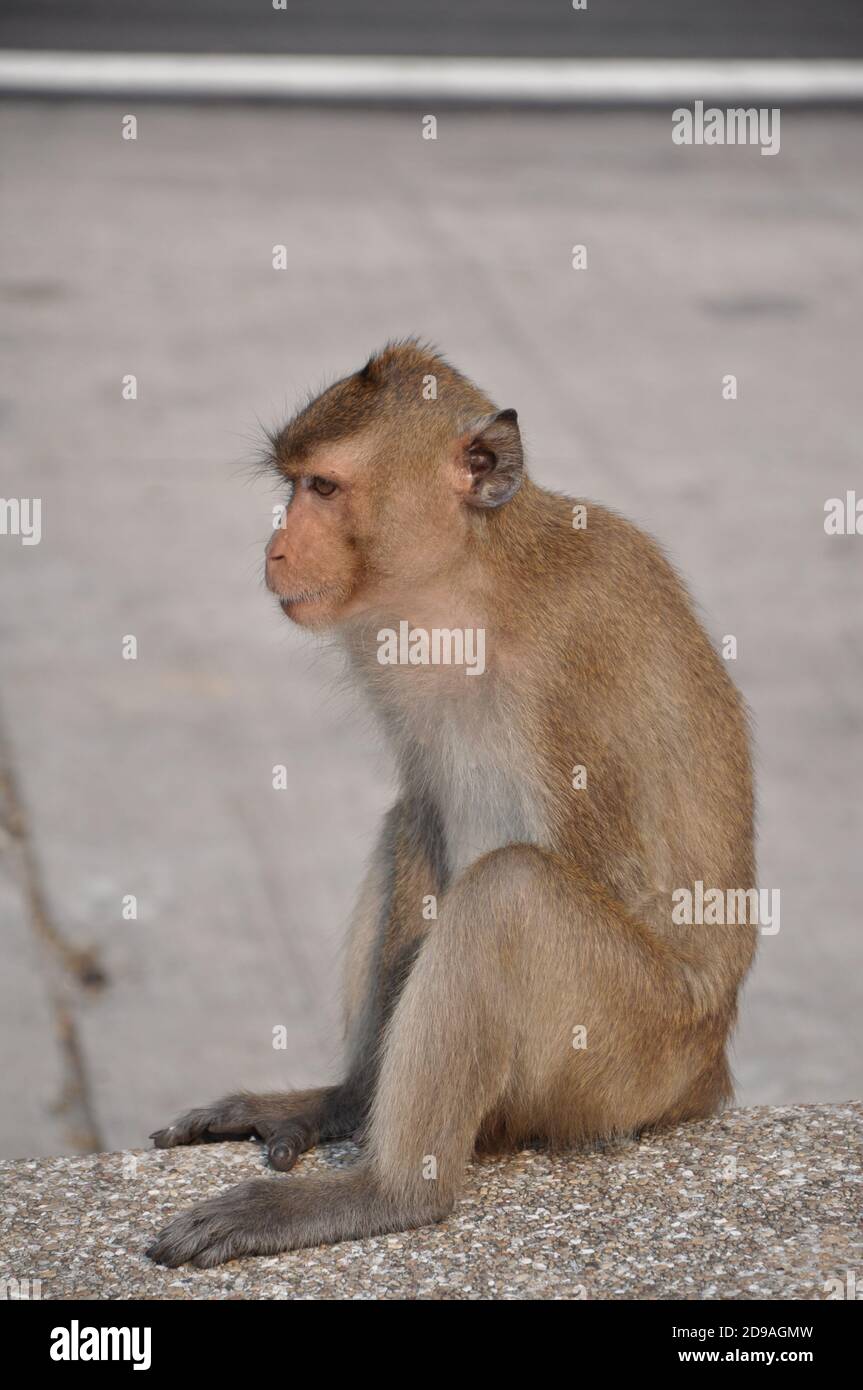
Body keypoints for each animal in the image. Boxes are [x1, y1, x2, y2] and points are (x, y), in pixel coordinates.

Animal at [146, 340, 756, 1268]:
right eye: (291, 485)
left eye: (321, 487)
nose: (276, 548)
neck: (470, 588)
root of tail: (707, 1068)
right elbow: (425, 817)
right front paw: (347, 1100)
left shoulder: (578, 652)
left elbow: (603, 871)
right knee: (415, 833)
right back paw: (350, 1102)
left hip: (634, 1059)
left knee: (509, 892)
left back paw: (392, 1191)